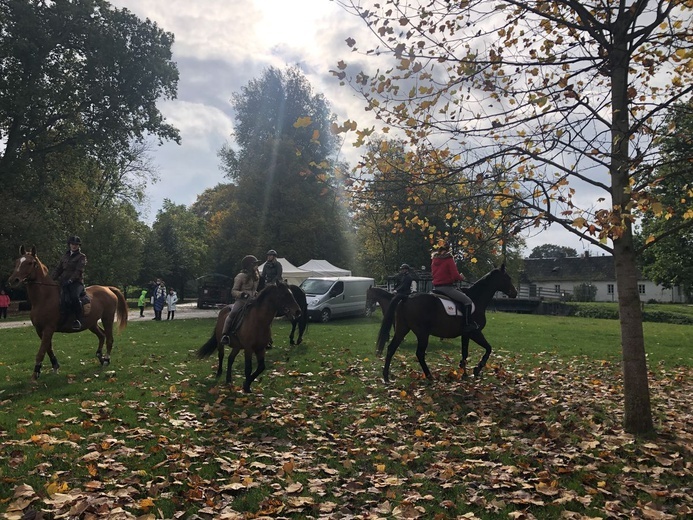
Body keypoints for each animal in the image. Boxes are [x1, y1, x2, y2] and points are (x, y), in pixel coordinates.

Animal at [6, 246, 129, 380]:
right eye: (17, 262)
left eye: (29, 263)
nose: (13, 280)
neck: (45, 297)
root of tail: (107, 288)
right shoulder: (40, 330)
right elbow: (48, 348)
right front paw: (55, 365)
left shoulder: (48, 328)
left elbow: (41, 351)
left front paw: (35, 373)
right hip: (91, 323)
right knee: (102, 335)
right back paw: (100, 356)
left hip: (107, 318)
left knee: (109, 338)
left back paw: (106, 359)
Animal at [376, 264, 516, 382]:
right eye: (507, 278)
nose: (515, 293)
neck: (476, 298)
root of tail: (406, 298)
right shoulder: (475, 332)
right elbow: (488, 348)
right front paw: (477, 369)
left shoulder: (466, 334)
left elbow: (465, 352)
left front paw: (464, 373)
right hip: (422, 333)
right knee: (419, 353)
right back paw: (429, 376)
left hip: (402, 329)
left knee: (391, 348)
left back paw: (386, 376)